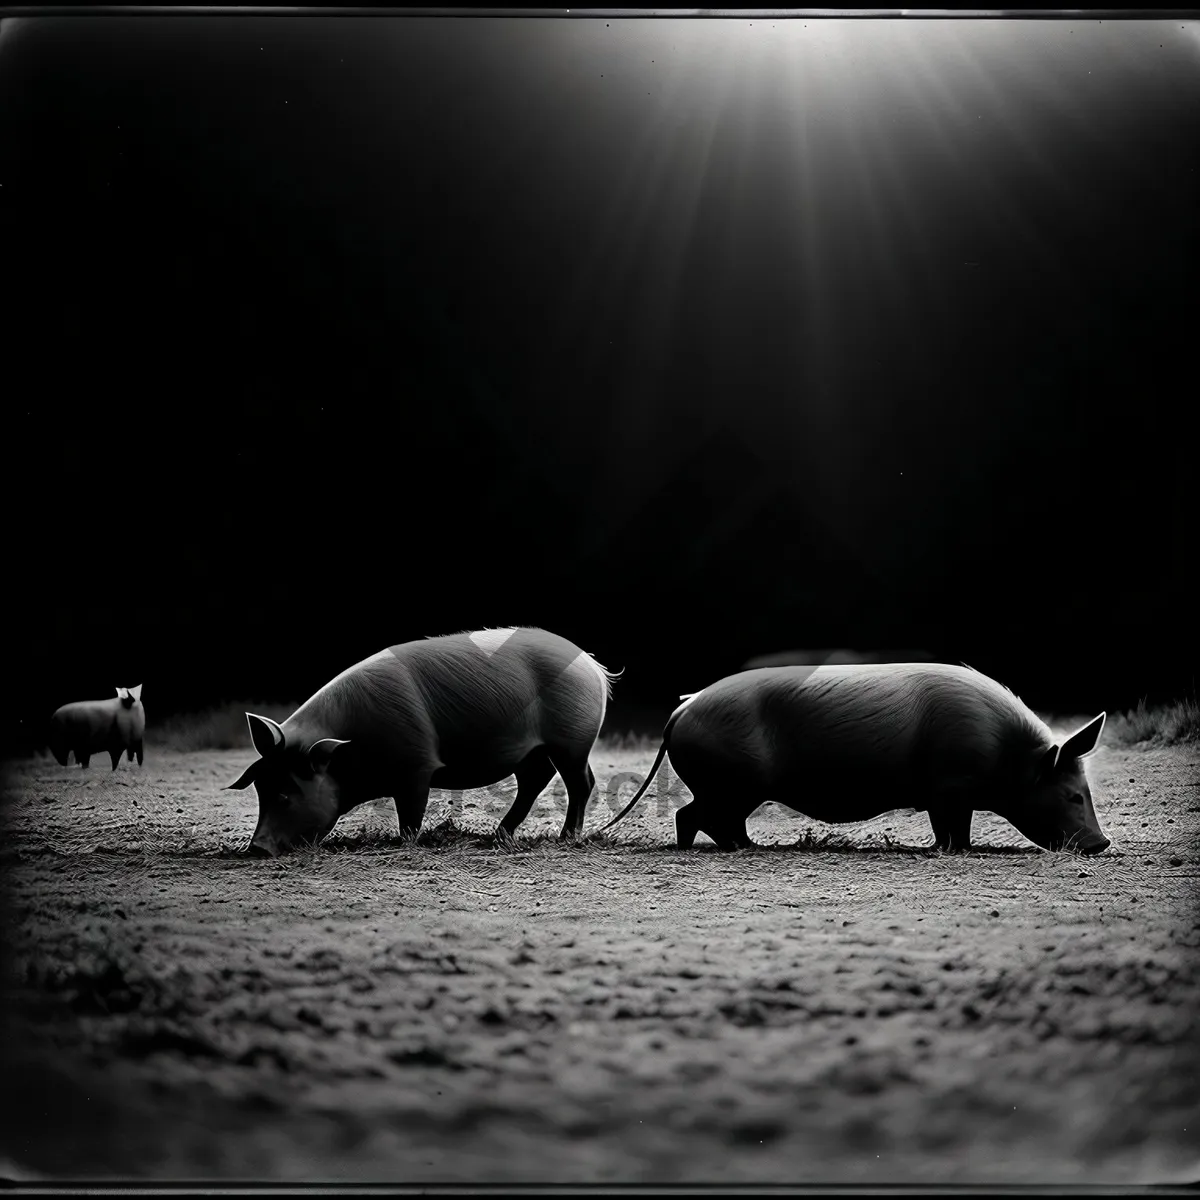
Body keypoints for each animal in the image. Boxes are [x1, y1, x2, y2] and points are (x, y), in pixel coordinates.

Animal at [225, 624, 619, 859]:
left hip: (572, 741)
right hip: (532, 752)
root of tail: (594, 667)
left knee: (581, 783)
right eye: (261, 789)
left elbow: (410, 814)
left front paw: (407, 844)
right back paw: (499, 836)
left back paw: (566, 838)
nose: (256, 848)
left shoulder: (417, 766)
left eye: (285, 793)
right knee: (535, 781)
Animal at [595, 667, 1108, 854]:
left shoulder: (942, 797)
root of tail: (682, 709)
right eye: (1072, 795)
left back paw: (749, 846)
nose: (1102, 844)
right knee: (693, 815)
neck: (1009, 755)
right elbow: (954, 830)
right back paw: (737, 849)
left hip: (735, 790)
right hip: (733, 785)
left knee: (706, 819)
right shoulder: (950, 790)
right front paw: (961, 851)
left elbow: (946, 830)